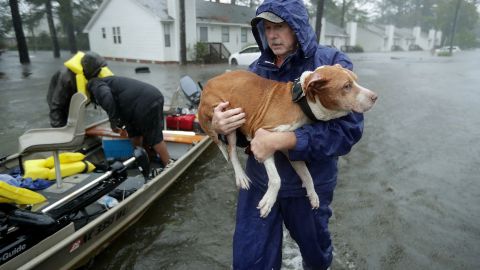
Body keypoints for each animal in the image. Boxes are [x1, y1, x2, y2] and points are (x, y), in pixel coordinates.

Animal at [197, 65, 376, 217]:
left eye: (355, 80)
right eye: (346, 86)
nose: (375, 97)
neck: (302, 103)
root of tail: (209, 82)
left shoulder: (290, 147)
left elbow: (307, 175)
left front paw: (313, 194)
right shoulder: (261, 138)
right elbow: (276, 179)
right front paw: (268, 201)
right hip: (227, 116)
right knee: (231, 151)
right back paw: (241, 177)